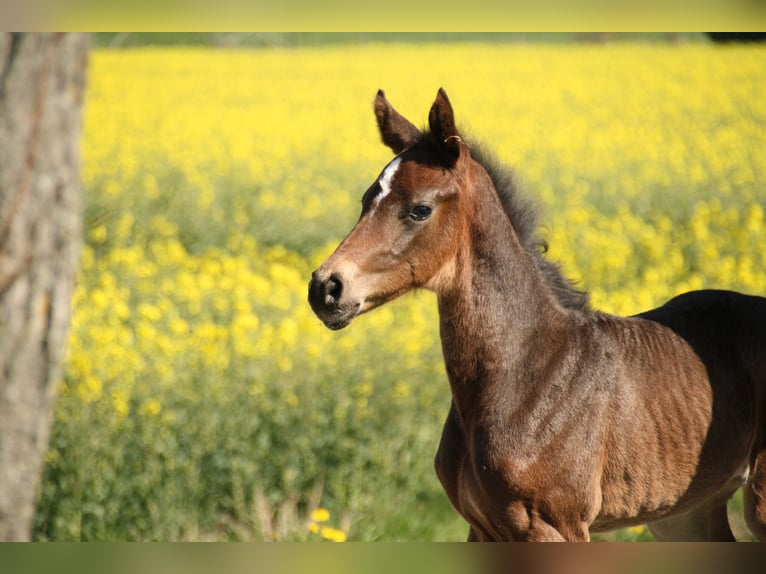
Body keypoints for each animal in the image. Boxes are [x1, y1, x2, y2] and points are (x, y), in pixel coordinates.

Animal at [308, 88, 766, 544]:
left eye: (419, 209)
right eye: (366, 200)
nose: (325, 288)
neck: (525, 371)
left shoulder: (556, 526)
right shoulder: (481, 529)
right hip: (682, 512)